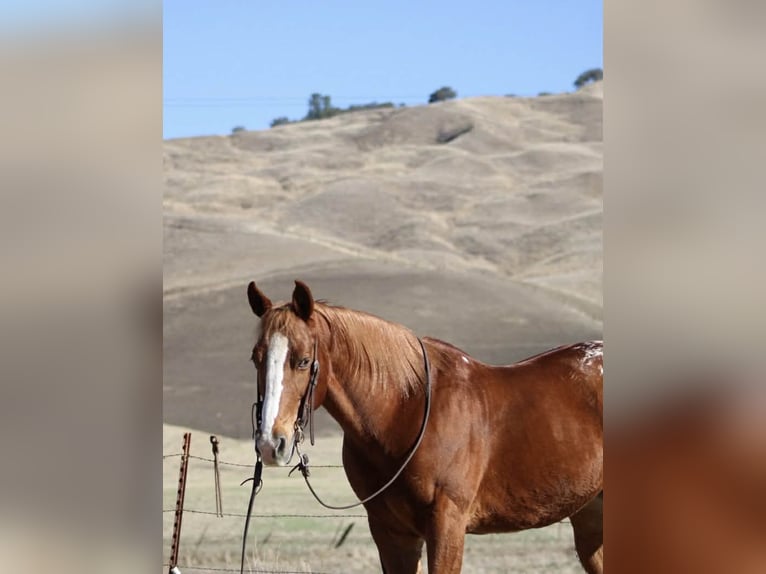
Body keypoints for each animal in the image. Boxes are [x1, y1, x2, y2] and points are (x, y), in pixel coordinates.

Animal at [246, 280, 603, 574]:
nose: (270, 444)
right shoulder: (391, 533)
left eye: (304, 360)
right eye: (255, 358)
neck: (405, 411)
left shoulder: (446, 526)